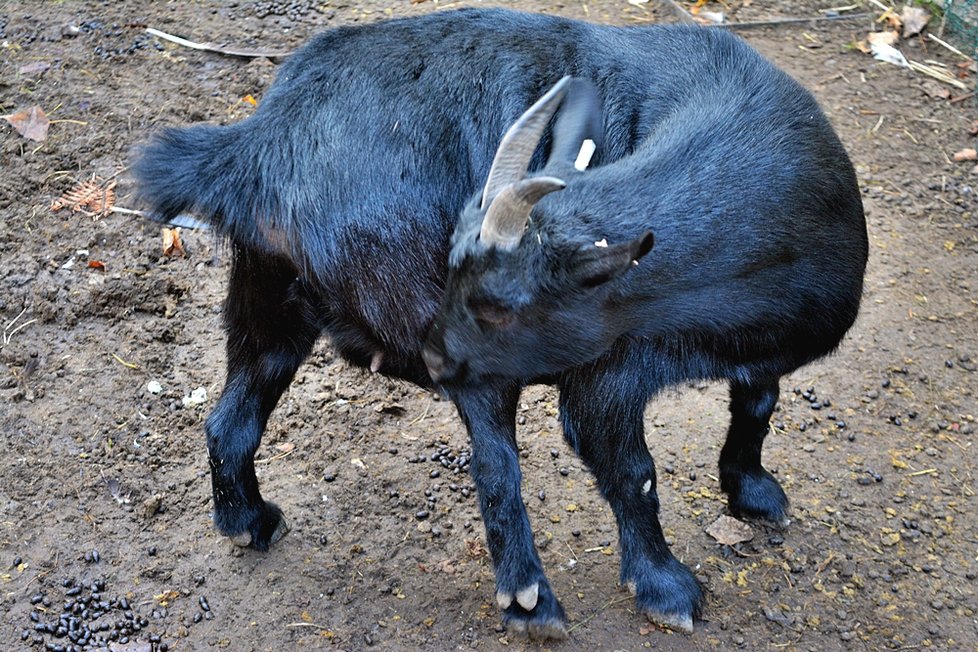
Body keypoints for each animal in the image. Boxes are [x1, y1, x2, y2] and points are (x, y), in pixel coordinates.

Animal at [133, 5, 864, 640]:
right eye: (454, 271)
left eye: (496, 301)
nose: (427, 356)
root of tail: (260, 146)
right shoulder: (607, 371)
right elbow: (632, 471)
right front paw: (665, 588)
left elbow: (759, 402)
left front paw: (753, 491)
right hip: (461, 361)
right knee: (495, 467)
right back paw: (530, 602)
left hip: (269, 296)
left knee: (232, 416)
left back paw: (247, 521)